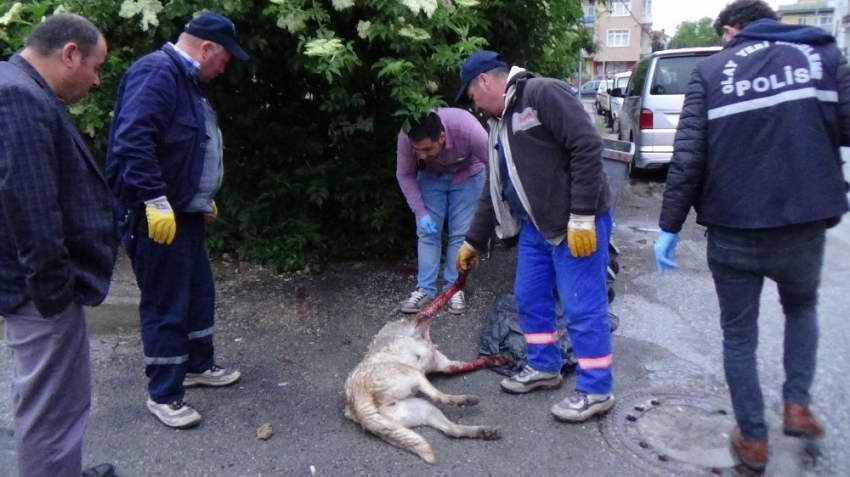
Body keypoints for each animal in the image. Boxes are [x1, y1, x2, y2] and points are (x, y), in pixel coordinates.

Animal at [342, 270, 510, 462]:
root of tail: (354, 403)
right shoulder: (423, 319)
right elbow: (444, 295)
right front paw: (461, 277)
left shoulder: (447, 365)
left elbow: (477, 362)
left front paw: (499, 360)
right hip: (413, 374)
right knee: (441, 398)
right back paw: (467, 400)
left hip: (421, 409)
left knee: (451, 430)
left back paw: (484, 431)